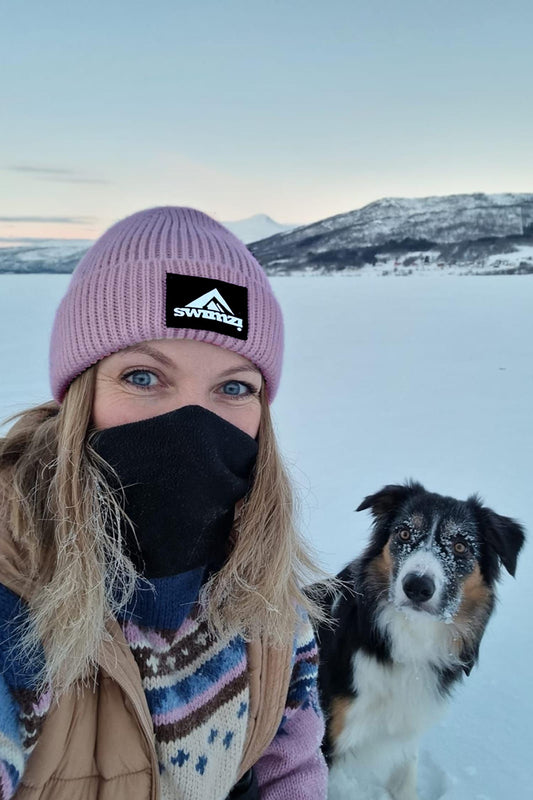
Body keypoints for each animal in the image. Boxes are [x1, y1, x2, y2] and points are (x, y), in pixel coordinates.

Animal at [314, 482, 524, 800]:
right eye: (403, 533)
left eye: (460, 546)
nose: (417, 586)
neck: (410, 637)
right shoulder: (323, 738)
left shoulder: (405, 726)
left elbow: (405, 779)